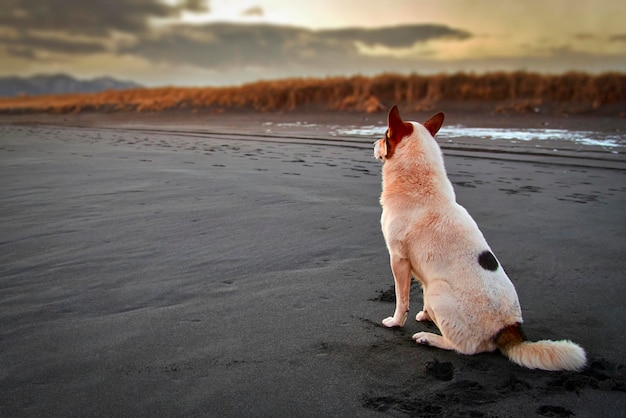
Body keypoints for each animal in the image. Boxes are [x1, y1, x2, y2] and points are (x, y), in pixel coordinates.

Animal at [376, 106, 584, 370]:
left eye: (385, 135)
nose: (373, 142)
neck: (419, 184)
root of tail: (509, 329)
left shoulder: (399, 259)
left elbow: (401, 299)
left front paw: (396, 322)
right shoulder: (420, 270)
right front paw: (424, 315)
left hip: (438, 291)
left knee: (467, 348)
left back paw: (429, 338)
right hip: (434, 289)